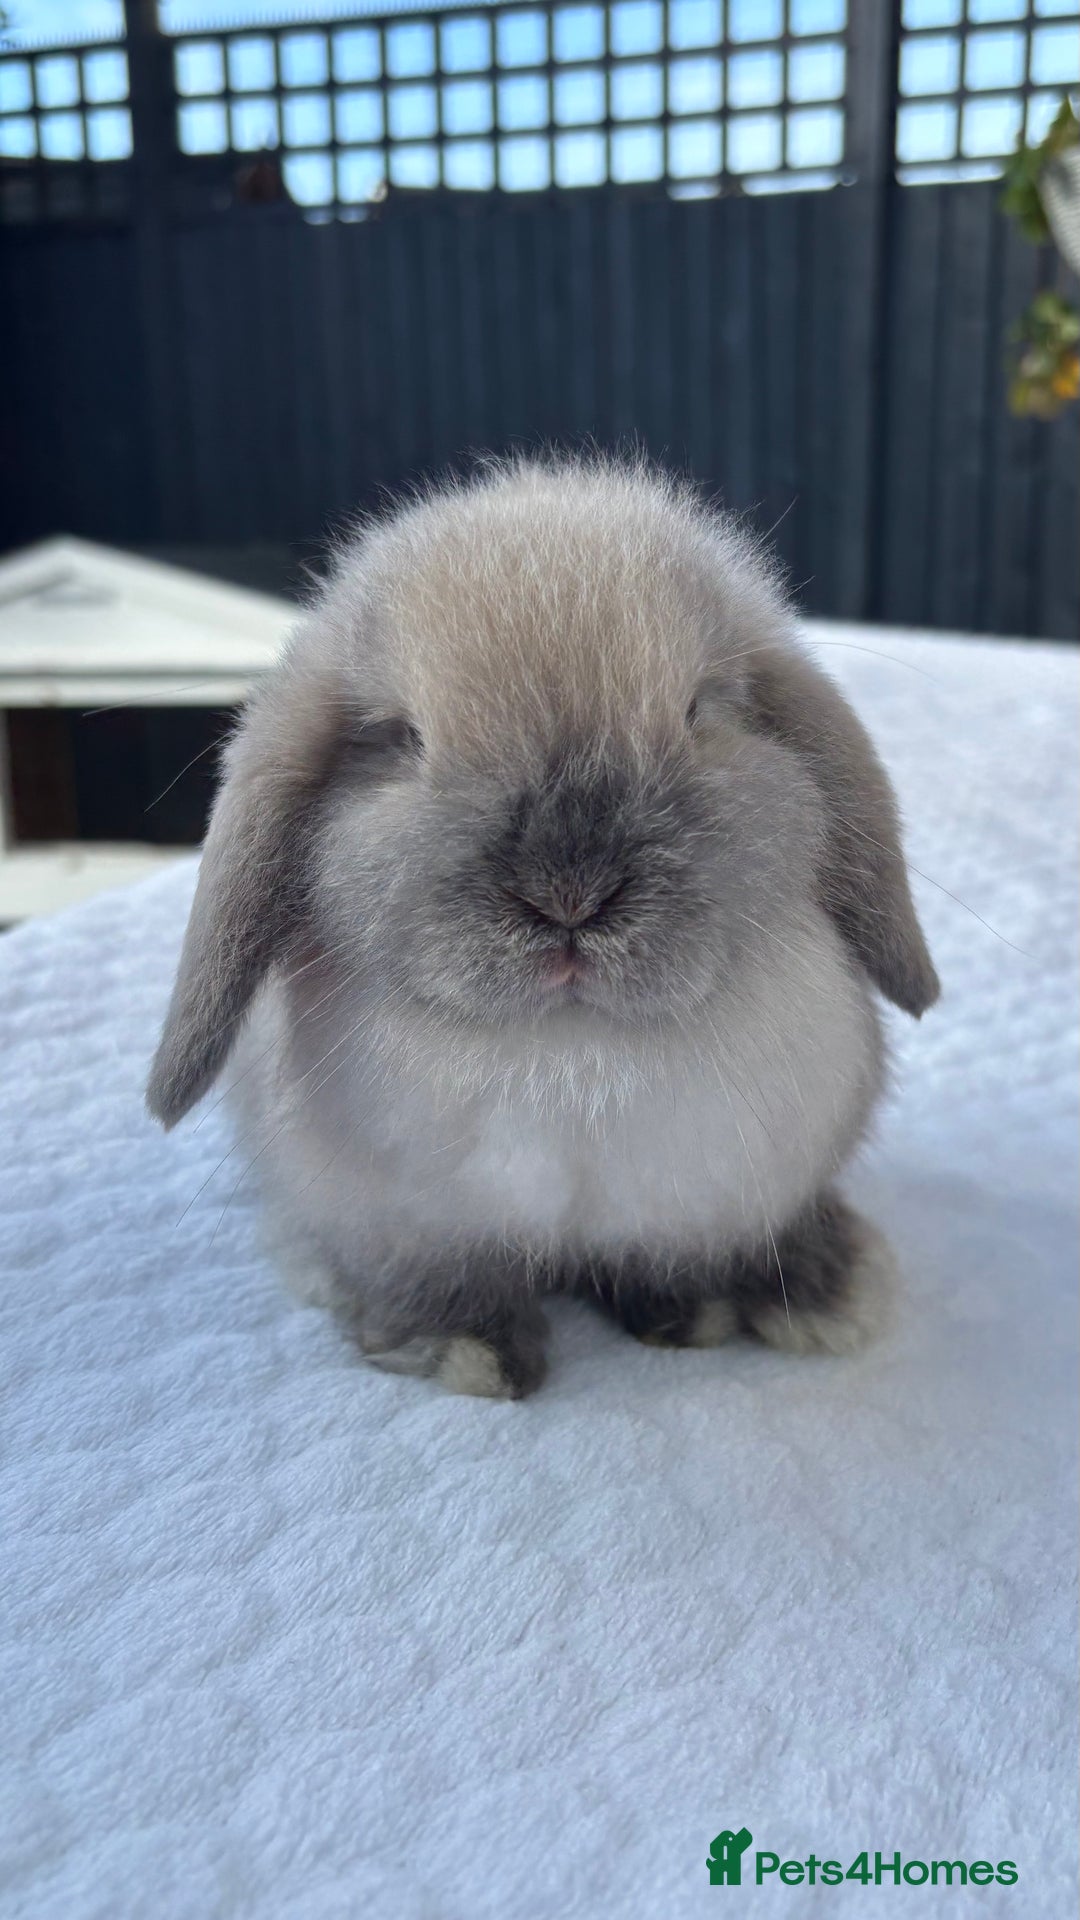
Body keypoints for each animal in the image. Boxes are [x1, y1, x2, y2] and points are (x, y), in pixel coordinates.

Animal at [148, 456, 939, 1399]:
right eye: (403, 739)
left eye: (698, 711)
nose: (569, 894)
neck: (567, 1050)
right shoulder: (404, 1225)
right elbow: (438, 1283)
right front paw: (469, 1351)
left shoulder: (707, 1196)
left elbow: (680, 1255)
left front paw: (694, 1310)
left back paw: (819, 1289)